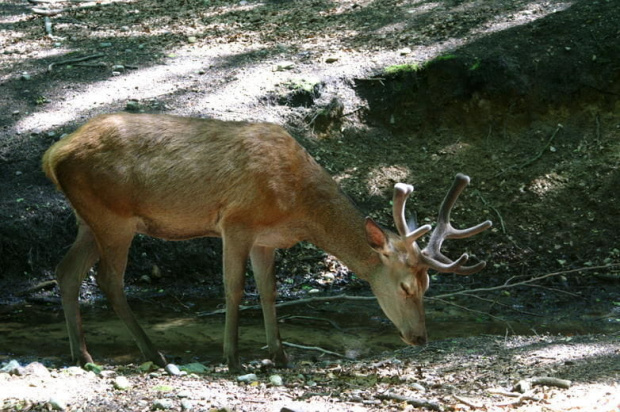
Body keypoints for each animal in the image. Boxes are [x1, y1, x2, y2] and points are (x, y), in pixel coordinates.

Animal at [41, 112, 492, 370]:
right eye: (406, 286)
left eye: (428, 286)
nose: (420, 338)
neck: (297, 207)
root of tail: (52, 155)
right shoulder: (236, 221)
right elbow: (234, 289)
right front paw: (233, 358)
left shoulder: (265, 240)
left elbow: (269, 291)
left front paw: (279, 353)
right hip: (114, 217)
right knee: (108, 280)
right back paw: (154, 354)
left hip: (89, 219)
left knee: (66, 271)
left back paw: (82, 355)